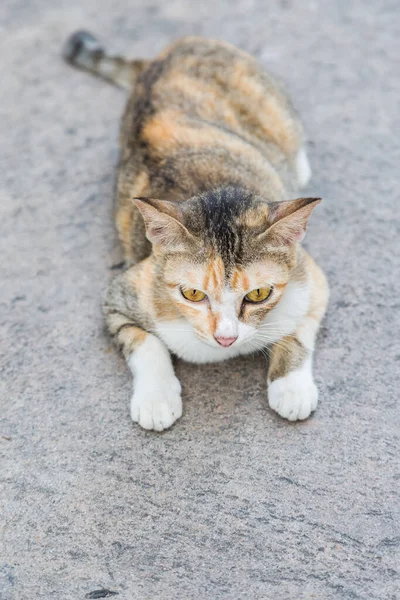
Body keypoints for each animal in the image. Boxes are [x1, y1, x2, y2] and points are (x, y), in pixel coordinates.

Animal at [63, 31, 328, 432]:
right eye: (191, 293)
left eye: (259, 293)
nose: (226, 337)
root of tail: (171, 49)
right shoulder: (122, 294)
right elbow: (144, 342)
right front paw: (156, 398)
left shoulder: (311, 277)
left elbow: (299, 328)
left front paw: (291, 387)